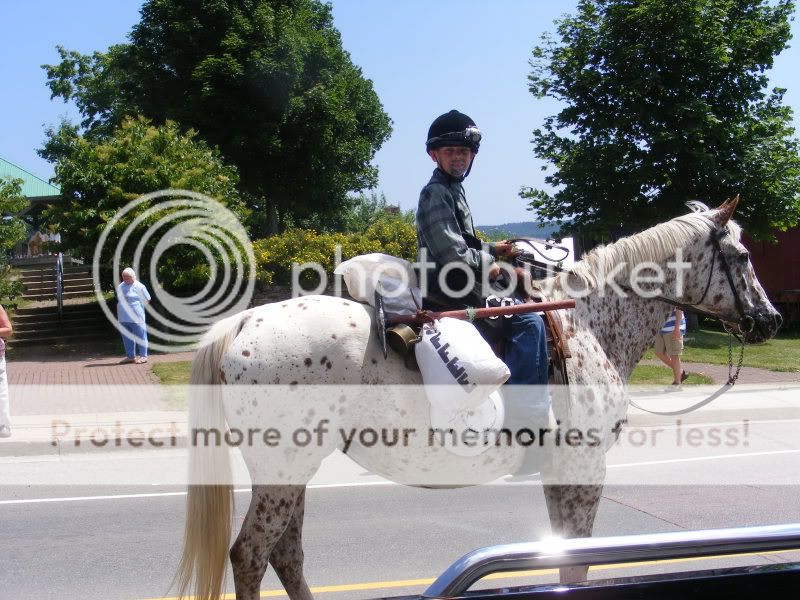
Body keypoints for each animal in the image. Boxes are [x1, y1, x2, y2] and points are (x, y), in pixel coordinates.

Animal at [177, 198, 780, 600]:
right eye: (742, 255)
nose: (771, 320)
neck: (588, 321)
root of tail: (242, 324)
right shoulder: (585, 469)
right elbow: (576, 563)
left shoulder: (560, 472)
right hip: (283, 470)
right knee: (252, 554)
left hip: (291, 470)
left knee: (287, 554)